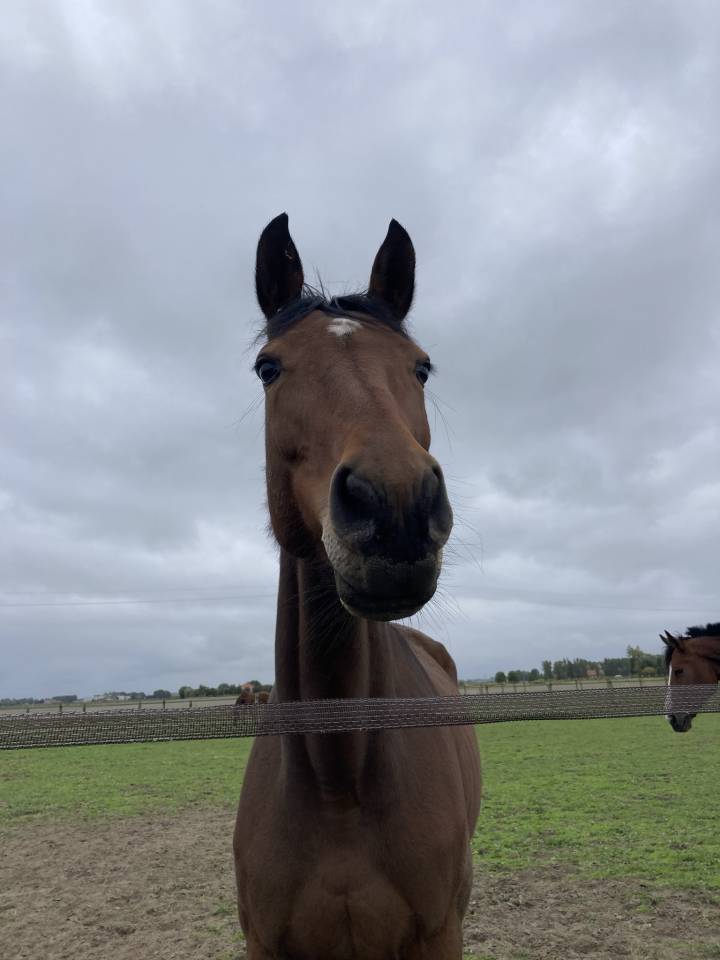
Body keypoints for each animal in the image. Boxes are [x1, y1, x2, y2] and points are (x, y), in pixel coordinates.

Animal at [233, 214, 481, 959]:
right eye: (269, 367)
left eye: (421, 365)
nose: (396, 506)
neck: (337, 778)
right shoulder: (264, 942)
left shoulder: (440, 934)